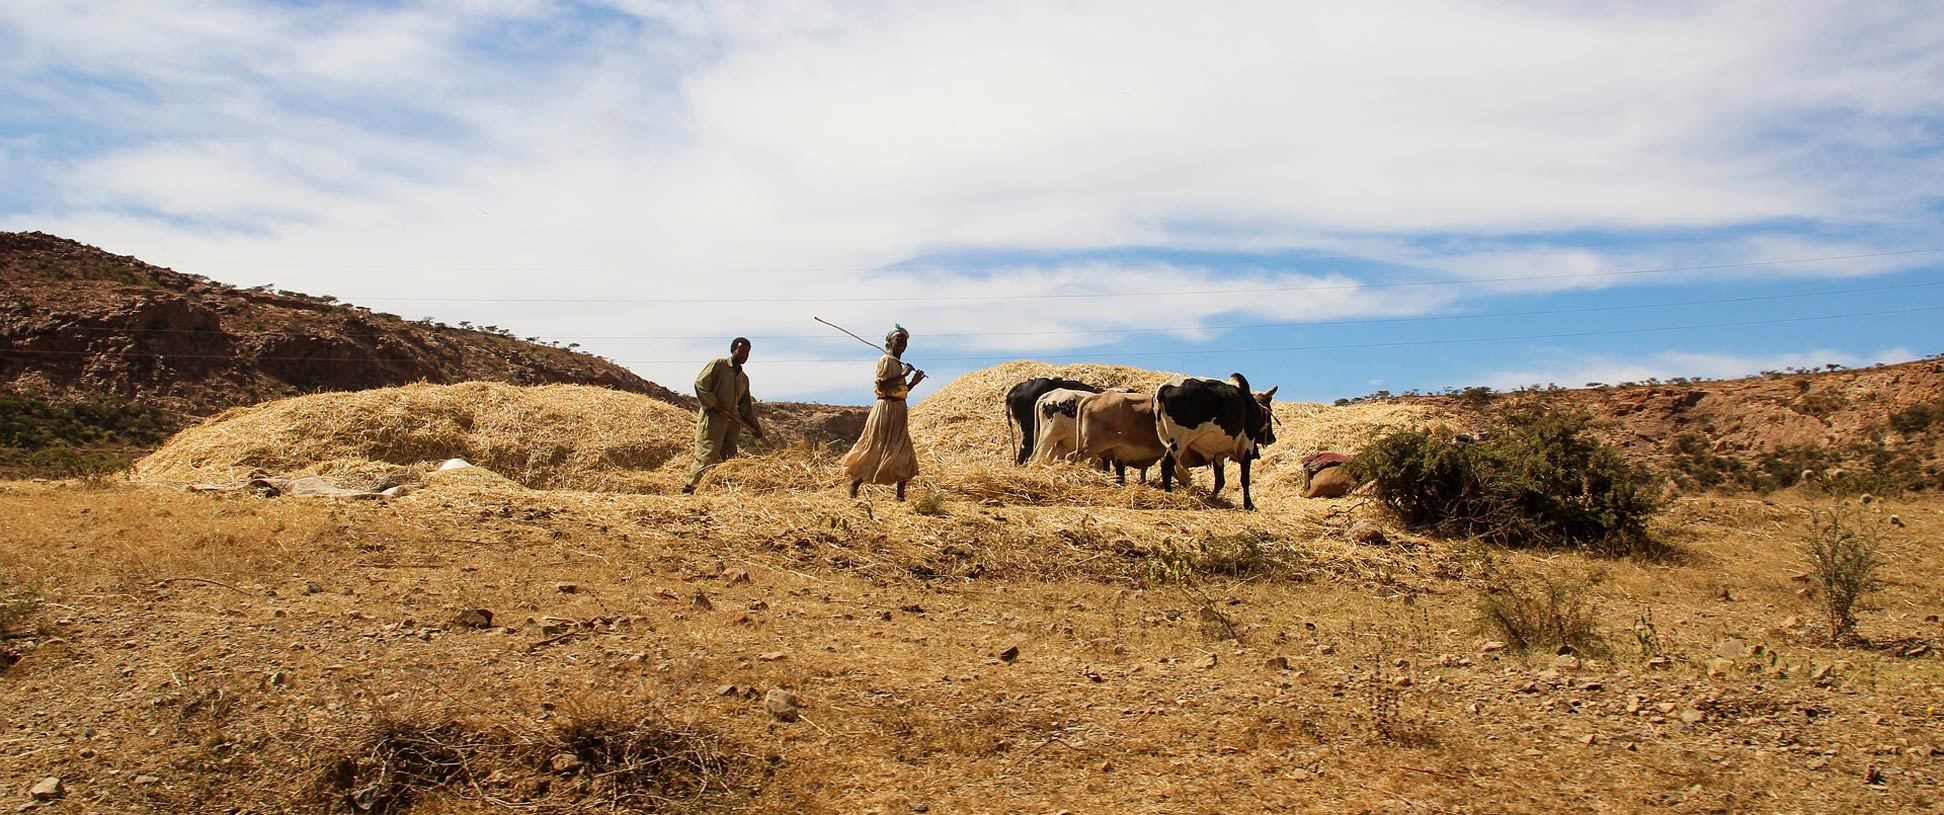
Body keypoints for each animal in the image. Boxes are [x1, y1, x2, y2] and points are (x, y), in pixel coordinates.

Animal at [1150, 375, 1275, 509]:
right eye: (1269, 413)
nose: (1273, 438)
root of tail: (1165, 388)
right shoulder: (1247, 445)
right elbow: (1244, 479)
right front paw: (1249, 505)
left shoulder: (1218, 454)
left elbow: (1220, 481)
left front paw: (1211, 498)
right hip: (1179, 442)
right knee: (1166, 463)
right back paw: (1168, 493)